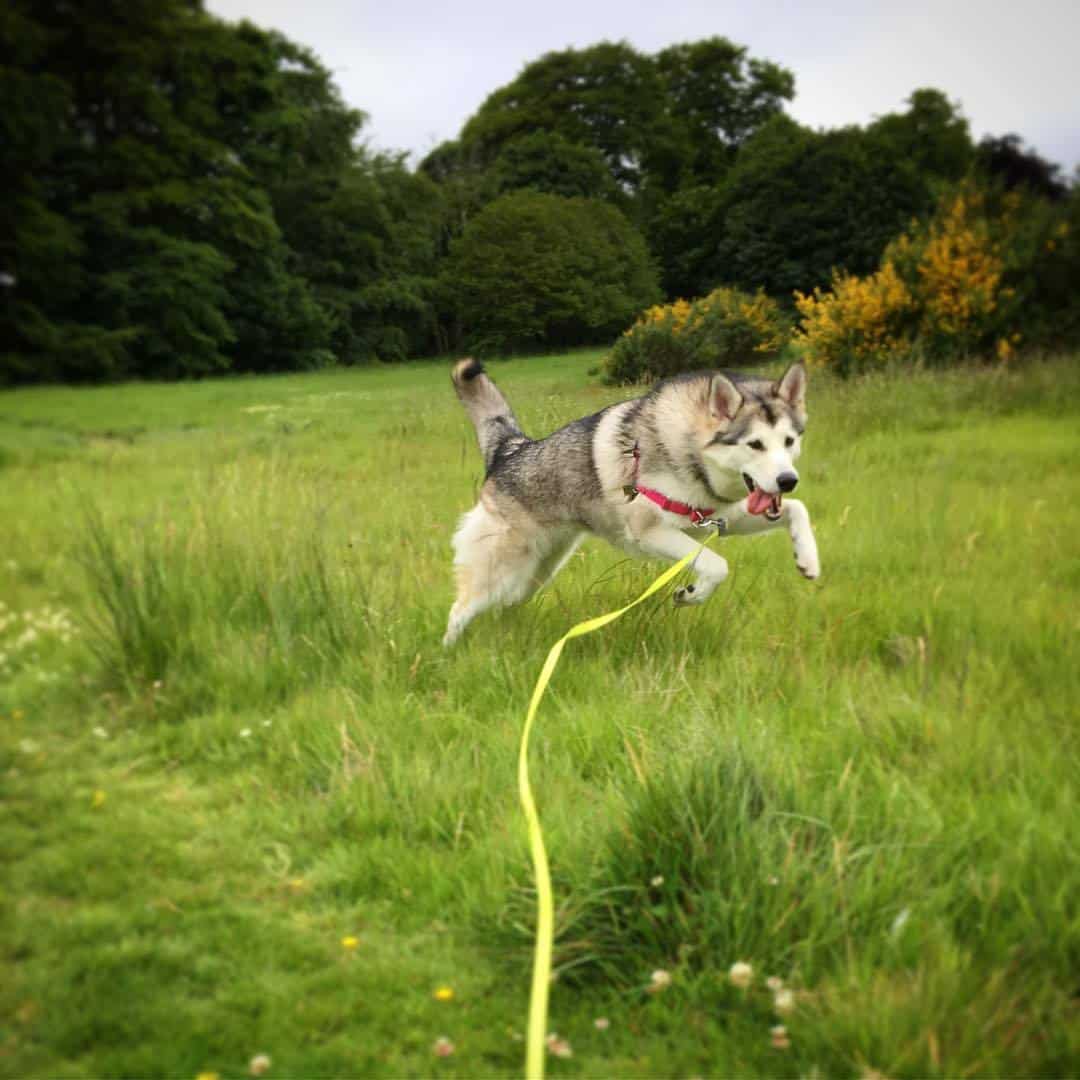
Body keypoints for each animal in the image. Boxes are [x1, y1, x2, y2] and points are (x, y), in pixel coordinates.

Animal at [442, 358, 820, 643]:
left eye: (789, 441)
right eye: (755, 444)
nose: (788, 481)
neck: (690, 454)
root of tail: (511, 449)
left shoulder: (722, 516)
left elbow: (797, 510)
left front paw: (808, 559)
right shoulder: (651, 531)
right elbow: (717, 565)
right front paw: (692, 594)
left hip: (534, 574)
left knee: (503, 605)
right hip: (501, 569)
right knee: (460, 610)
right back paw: (451, 655)